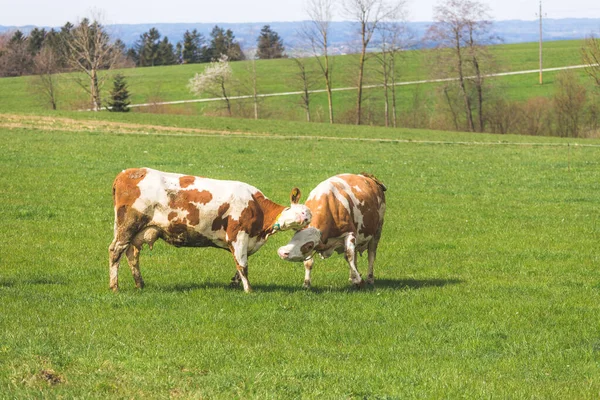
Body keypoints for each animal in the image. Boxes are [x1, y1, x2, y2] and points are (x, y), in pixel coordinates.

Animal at [109, 167, 314, 292]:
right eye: (300, 212)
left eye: (308, 216)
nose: (305, 220)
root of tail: (129, 173)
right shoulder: (238, 235)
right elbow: (243, 265)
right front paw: (249, 290)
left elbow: (239, 264)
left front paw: (235, 283)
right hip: (128, 225)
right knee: (115, 251)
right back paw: (114, 286)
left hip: (137, 231)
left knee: (131, 254)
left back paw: (140, 284)